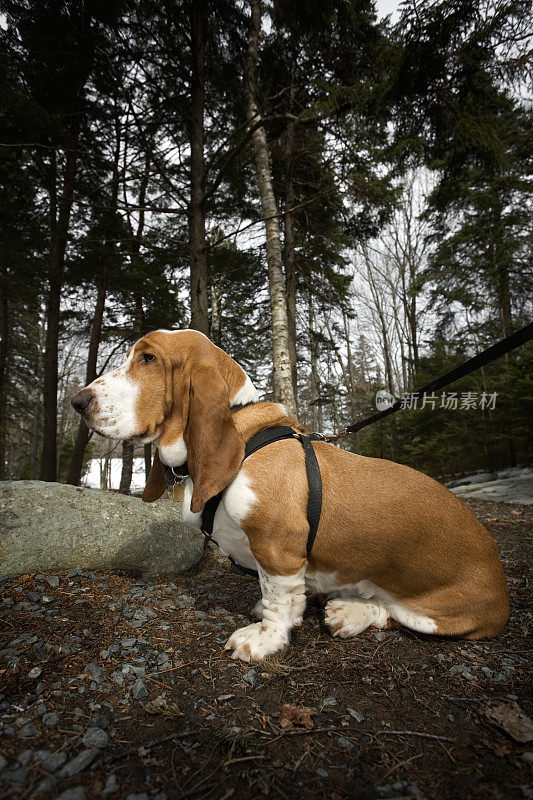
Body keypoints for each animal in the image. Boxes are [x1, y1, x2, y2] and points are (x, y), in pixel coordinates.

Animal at [70, 332, 508, 664]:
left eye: (148, 358)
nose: (77, 402)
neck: (243, 435)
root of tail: (502, 587)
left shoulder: (277, 544)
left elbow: (278, 598)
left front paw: (266, 637)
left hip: (443, 615)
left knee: (397, 614)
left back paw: (349, 613)